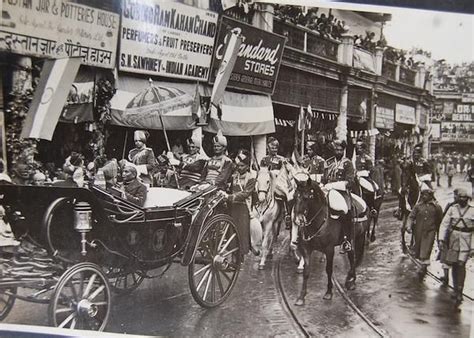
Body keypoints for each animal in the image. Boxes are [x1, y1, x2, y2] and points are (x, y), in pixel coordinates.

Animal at [294, 176, 368, 304]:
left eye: (307, 197)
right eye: (295, 196)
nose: (298, 220)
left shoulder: (329, 250)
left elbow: (329, 270)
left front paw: (328, 292)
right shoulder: (307, 249)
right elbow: (306, 271)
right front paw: (301, 296)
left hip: (357, 237)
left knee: (353, 257)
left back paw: (351, 281)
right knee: (352, 255)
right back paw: (350, 279)